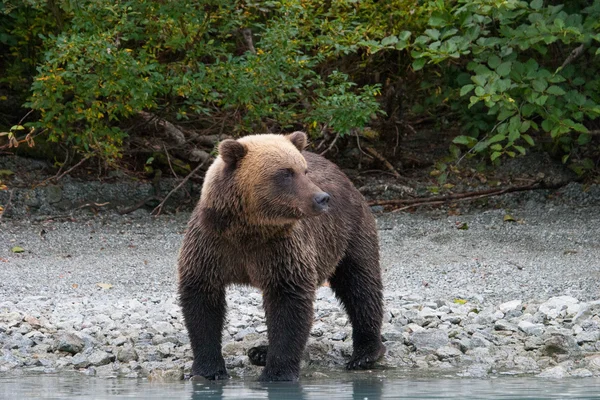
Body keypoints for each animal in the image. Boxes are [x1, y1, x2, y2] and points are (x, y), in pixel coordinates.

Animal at [178, 131, 384, 382]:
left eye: (304, 170)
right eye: (286, 172)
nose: (322, 198)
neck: (248, 230)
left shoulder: (282, 249)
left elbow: (288, 302)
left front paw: (277, 373)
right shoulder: (211, 245)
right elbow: (202, 300)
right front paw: (208, 369)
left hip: (349, 232)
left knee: (360, 284)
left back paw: (365, 353)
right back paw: (259, 351)